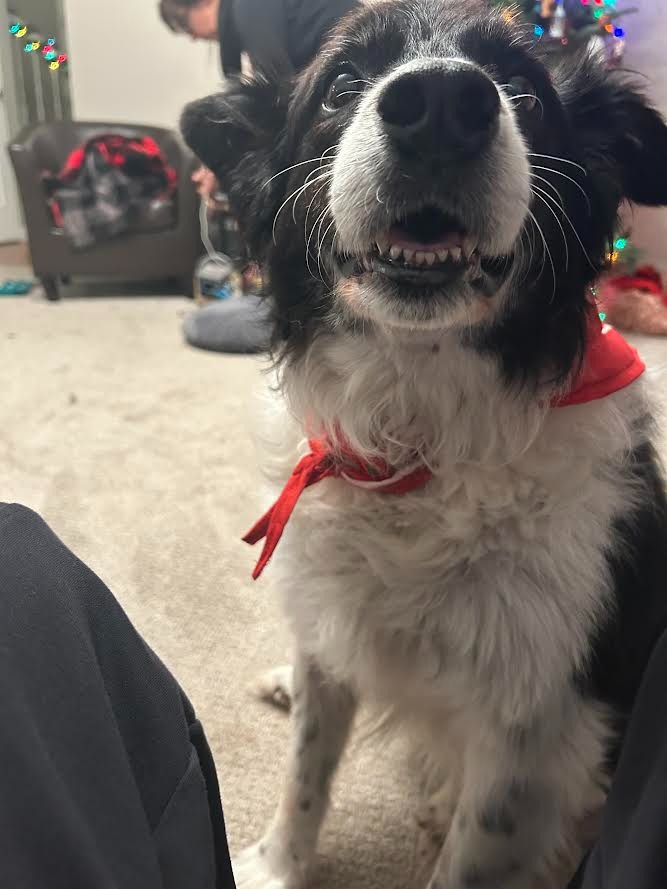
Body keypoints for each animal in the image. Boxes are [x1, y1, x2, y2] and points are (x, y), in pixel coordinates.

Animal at [182, 1, 667, 886]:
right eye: (340, 83)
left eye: (523, 90)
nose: (442, 104)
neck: (416, 442)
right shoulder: (332, 609)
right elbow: (306, 764)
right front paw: (275, 863)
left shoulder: (531, 737)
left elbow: (469, 852)